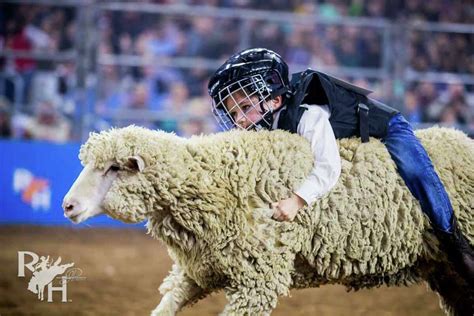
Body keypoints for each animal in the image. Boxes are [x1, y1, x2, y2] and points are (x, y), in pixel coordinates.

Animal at [64, 124, 474, 314]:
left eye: (114, 168)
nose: (67, 206)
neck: (215, 177)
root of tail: (457, 135)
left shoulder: (257, 280)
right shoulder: (199, 271)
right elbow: (165, 307)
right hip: (446, 272)